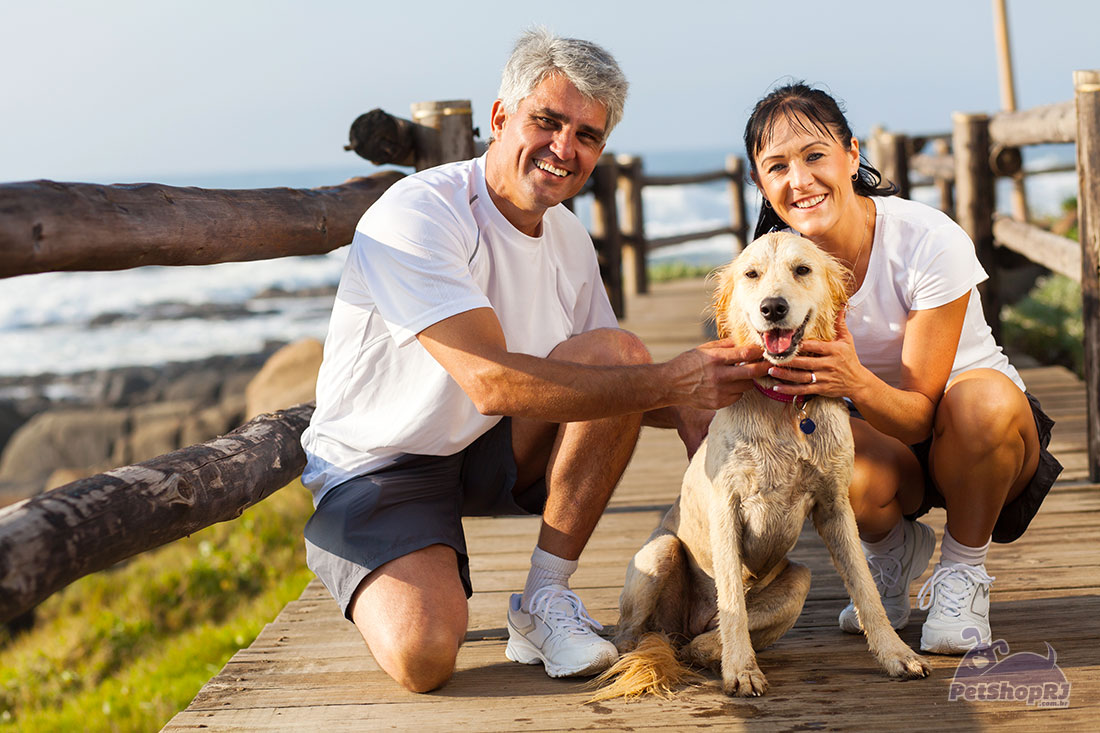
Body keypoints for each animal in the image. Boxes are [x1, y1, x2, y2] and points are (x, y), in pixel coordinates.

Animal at [598, 230, 932, 695]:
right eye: (751, 274)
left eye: (802, 269)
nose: (772, 308)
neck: (784, 404)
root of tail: (678, 628)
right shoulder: (726, 507)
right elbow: (733, 603)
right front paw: (741, 669)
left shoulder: (835, 506)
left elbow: (866, 589)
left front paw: (896, 654)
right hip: (660, 551)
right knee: (633, 636)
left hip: (799, 580)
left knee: (700, 642)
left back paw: (701, 649)